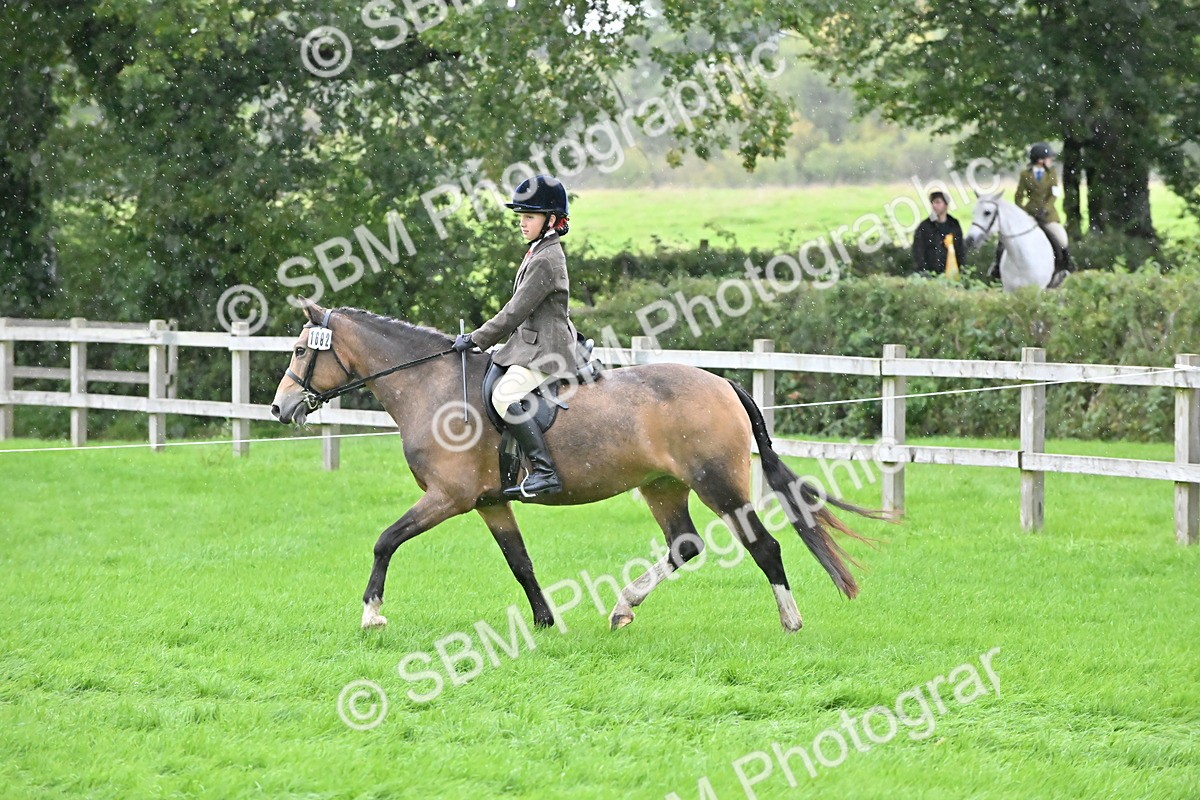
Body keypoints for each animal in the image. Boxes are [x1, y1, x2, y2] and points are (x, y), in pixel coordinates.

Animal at [270, 301, 879, 633]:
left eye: (301, 351)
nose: (279, 408)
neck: (432, 387)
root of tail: (723, 382)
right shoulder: (489, 503)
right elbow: (521, 564)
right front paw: (545, 623)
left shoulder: (449, 497)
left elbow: (385, 540)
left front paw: (372, 614)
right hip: (663, 486)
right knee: (684, 545)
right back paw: (623, 608)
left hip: (718, 485)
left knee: (764, 546)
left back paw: (790, 621)